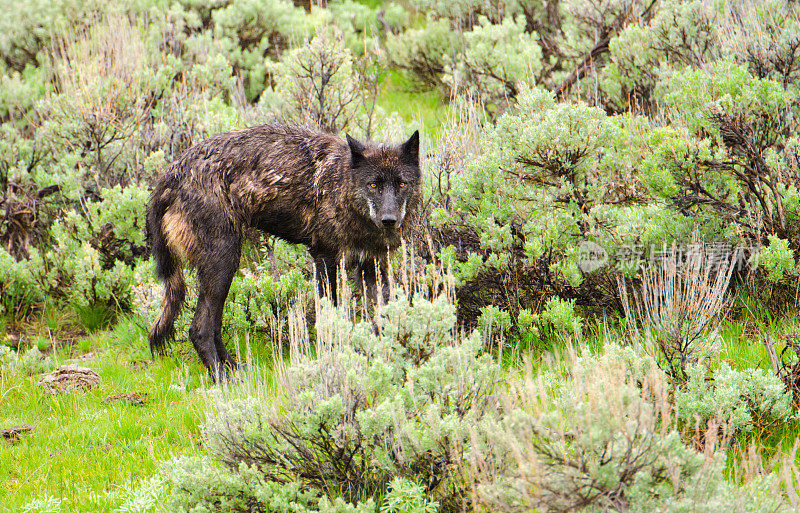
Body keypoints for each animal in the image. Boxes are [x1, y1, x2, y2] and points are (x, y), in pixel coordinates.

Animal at [147, 124, 422, 380]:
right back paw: (222, 379)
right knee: (199, 328)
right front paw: (336, 355)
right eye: (373, 184)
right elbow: (330, 315)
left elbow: (387, 311)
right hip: (224, 264)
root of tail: (171, 173)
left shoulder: (371, 265)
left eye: (401, 183)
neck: (341, 184)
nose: (389, 220)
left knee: (214, 325)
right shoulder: (324, 258)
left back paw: (234, 368)